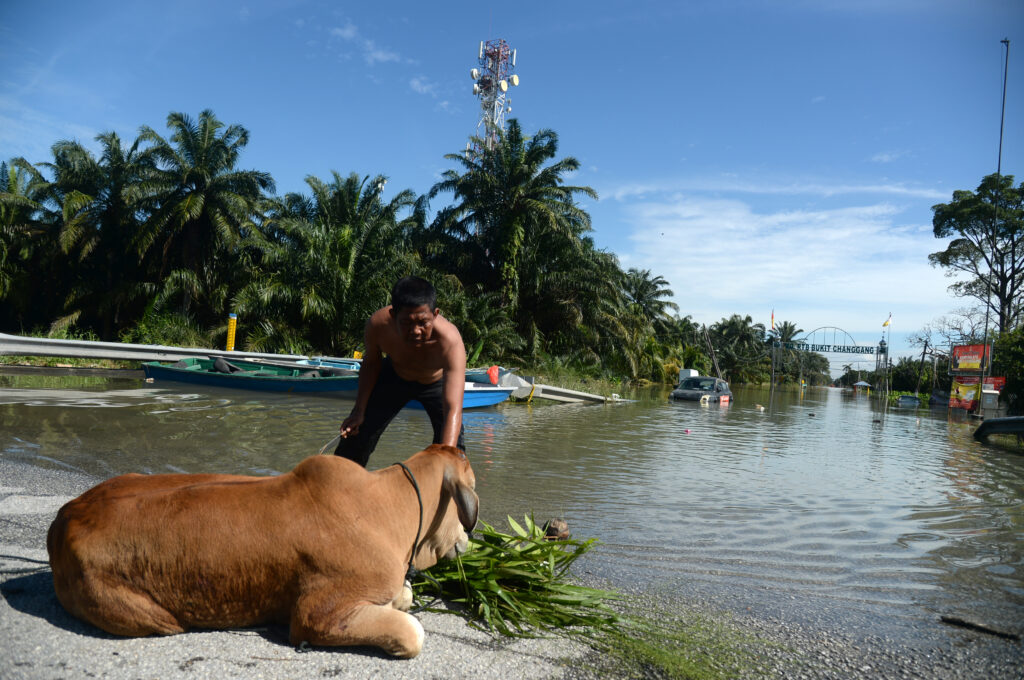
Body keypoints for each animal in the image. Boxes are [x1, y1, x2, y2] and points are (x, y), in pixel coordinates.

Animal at [46, 444, 477, 655]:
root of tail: (65, 516)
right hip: (143, 613)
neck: (390, 504)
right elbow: (412, 633)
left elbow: (403, 595)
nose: (469, 541)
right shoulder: (317, 615)